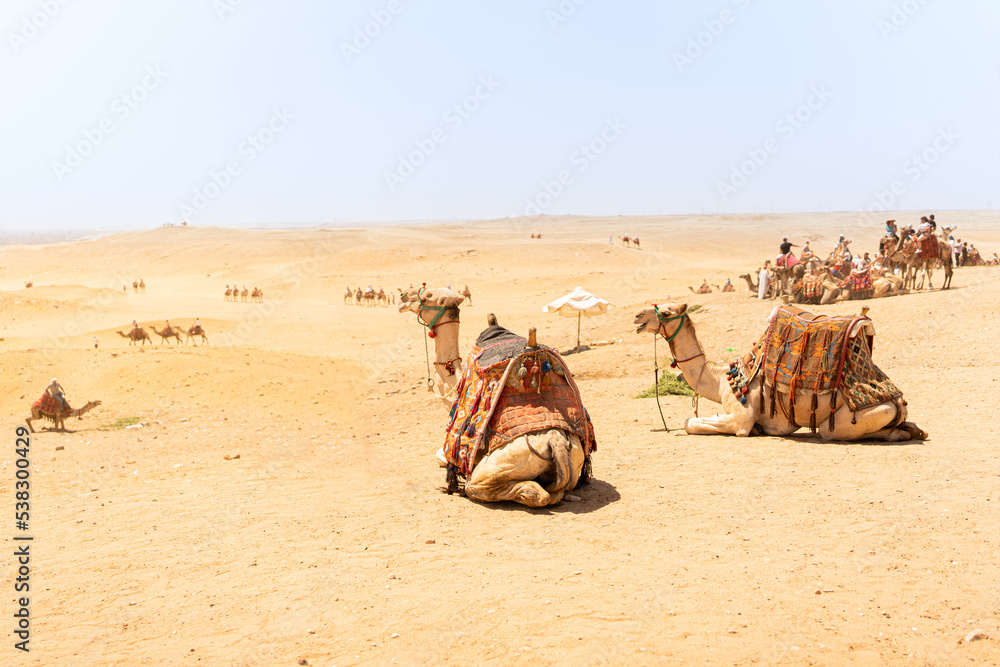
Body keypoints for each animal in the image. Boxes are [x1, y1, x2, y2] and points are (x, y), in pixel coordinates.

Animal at [398, 286, 590, 507]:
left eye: (427, 296)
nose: (402, 297)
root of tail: (555, 441)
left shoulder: (451, 450)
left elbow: (441, 457)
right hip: (574, 460)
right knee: (556, 491)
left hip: (494, 468)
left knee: (523, 492)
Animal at [632, 302, 926, 441]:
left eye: (666, 312)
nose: (637, 316)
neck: (718, 379)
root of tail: (897, 400)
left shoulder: (741, 418)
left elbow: (690, 423)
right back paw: (914, 430)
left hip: (856, 418)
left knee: (832, 432)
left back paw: (900, 434)